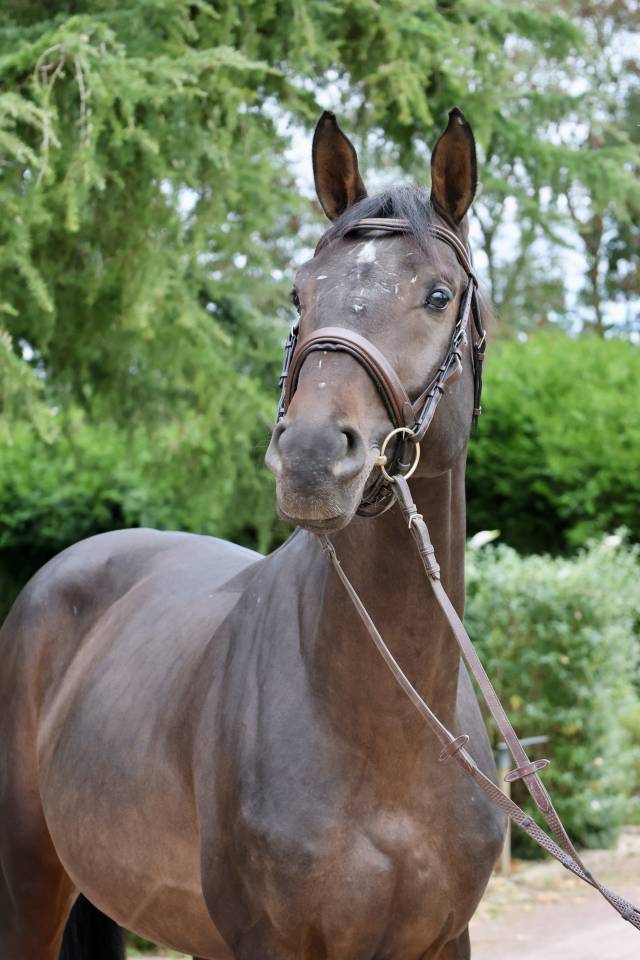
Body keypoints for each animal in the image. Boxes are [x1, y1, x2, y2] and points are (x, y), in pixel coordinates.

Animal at [0, 107, 505, 960]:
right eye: (301, 293)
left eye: (438, 295)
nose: (310, 457)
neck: (391, 735)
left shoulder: (446, 941)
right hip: (30, 884)